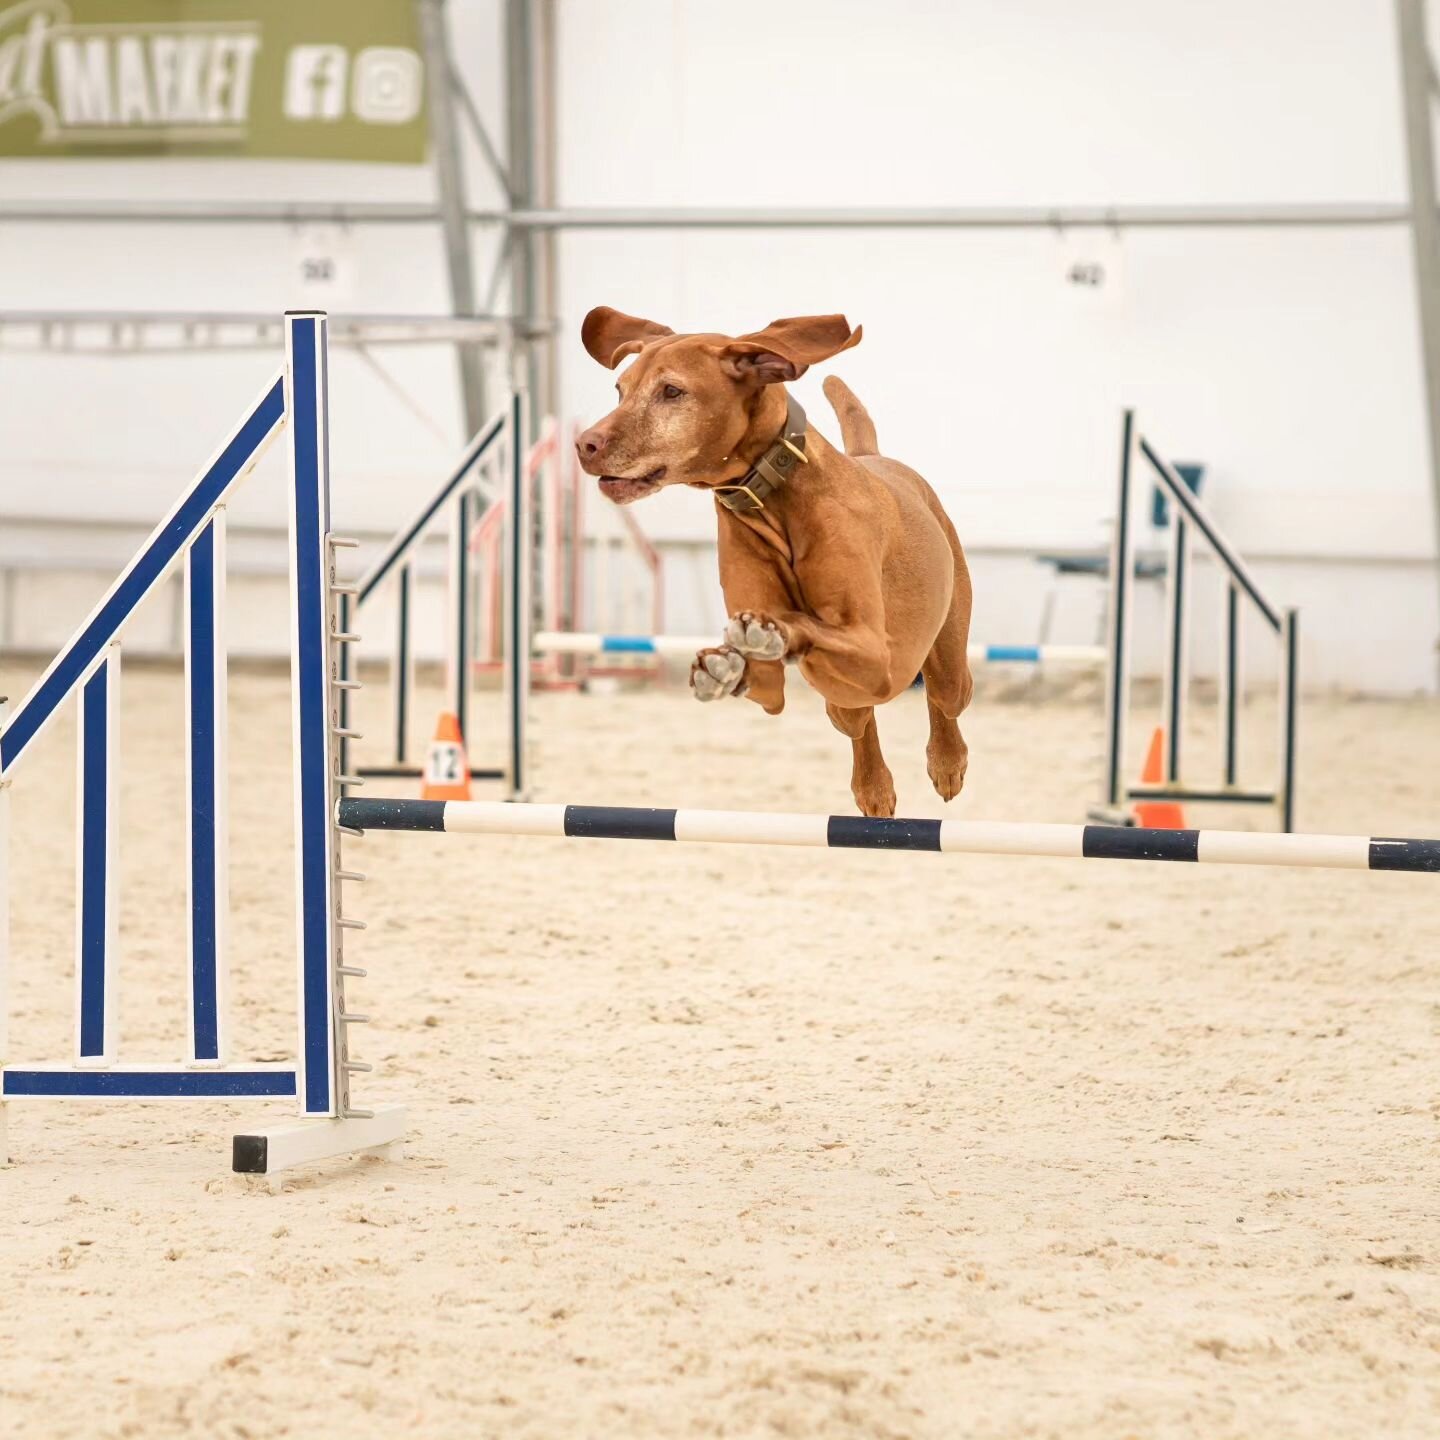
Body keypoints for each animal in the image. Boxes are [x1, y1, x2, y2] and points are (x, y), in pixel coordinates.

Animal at [578, 308, 973, 817]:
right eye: (620, 390)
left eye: (671, 392)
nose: (583, 445)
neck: (773, 499)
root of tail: (872, 455)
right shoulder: (777, 688)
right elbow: (766, 673)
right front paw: (728, 664)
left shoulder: (875, 652)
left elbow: (803, 625)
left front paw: (772, 635)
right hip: (842, 703)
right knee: (856, 720)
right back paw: (873, 787)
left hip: (943, 665)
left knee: (945, 699)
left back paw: (946, 762)